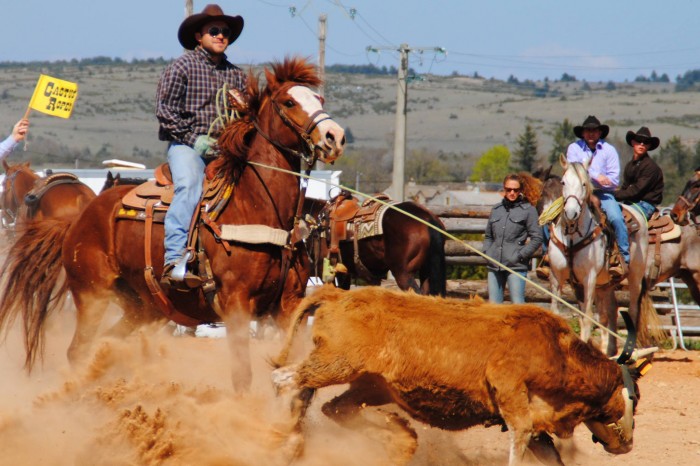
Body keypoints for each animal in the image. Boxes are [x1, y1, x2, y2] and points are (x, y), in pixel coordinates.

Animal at [0, 57, 344, 390]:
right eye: (289, 101)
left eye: (319, 99)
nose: (335, 137)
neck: (257, 206)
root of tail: (78, 219)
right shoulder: (236, 303)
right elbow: (242, 375)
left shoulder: (289, 305)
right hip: (91, 293)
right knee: (78, 351)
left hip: (142, 306)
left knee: (106, 344)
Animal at [548, 155, 656, 354]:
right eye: (563, 182)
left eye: (584, 183)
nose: (571, 213)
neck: (572, 237)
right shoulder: (558, 277)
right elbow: (559, 312)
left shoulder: (588, 278)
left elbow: (587, 316)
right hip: (605, 284)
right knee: (609, 312)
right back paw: (609, 351)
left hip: (635, 276)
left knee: (632, 310)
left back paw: (630, 351)